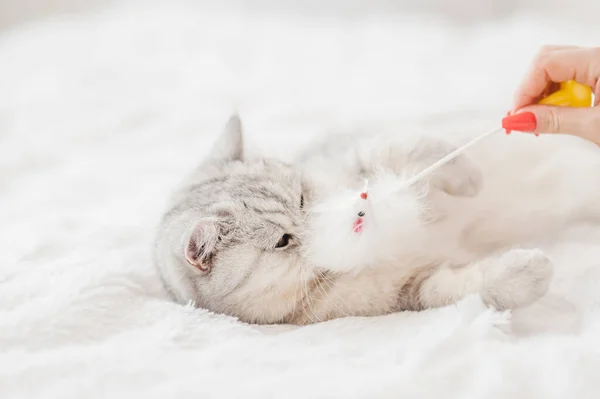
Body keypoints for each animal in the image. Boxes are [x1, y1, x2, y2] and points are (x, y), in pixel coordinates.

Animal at [152, 114, 596, 326]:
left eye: (302, 198)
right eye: (282, 241)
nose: (320, 225)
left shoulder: (359, 158)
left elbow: (409, 147)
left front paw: (468, 177)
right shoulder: (411, 291)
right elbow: (471, 289)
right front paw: (529, 272)